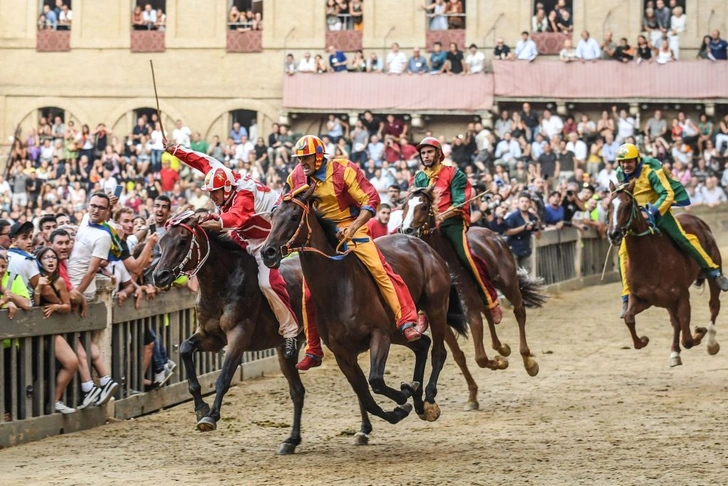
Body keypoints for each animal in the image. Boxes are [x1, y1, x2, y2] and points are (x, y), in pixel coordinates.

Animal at [152, 211, 306, 454]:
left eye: (182, 241)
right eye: (161, 242)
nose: (159, 276)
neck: (222, 283)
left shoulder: (239, 334)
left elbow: (224, 377)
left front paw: (211, 416)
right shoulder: (211, 336)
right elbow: (185, 349)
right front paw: (200, 406)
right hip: (284, 352)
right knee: (297, 391)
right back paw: (291, 440)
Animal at [262, 185, 466, 430]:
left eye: (294, 216)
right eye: (272, 216)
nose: (268, 252)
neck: (339, 286)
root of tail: (424, 247)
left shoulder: (379, 334)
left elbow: (376, 381)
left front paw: (405, 393)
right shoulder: (343, 354)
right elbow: (367, 398)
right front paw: (400, 407)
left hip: (435, 307)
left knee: (438, 352)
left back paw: (429, 399)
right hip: (397, 329)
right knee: (422, 344)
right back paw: (418, 400)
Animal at [398, 186, 544, 410]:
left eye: (423, 206)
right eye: (404, 206)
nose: (406, 231)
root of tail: (492, 234)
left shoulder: (471, 312)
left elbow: (480, 358)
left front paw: (499, 363)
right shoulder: (441, 319)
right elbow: (459, 356)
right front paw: (473, 395)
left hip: (508, 282)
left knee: (519, 311)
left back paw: (528, 361)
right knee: (490, 312)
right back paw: (501, 347)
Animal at [604, 180, 720, 366]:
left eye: (628, 205)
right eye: (609, 205)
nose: (613, 234)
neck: (649, 260)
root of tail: (698, 221)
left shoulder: (681, 296)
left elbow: (688, 338)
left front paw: (699, 331)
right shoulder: (644, 298)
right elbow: (629, 318)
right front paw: (643, 340)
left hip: (712, 270)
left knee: (714, 305)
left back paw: (711, 343)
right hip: (667, 301)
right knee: (675, 323)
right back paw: (675, 353)